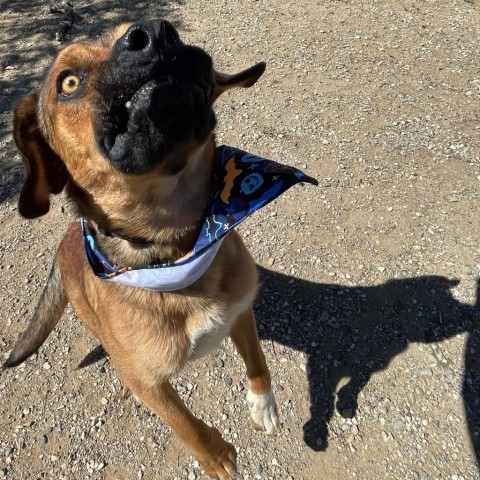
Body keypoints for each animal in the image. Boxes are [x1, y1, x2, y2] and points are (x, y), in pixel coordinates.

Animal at [4, 19, 316, 480]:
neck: (176, 250)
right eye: (69, 83)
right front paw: (216, 456)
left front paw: (263, 404)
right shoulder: (148, 382)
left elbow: (258, 361)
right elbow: (184, 422)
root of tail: (66, 241)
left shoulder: (241, 311)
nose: (154, 33)